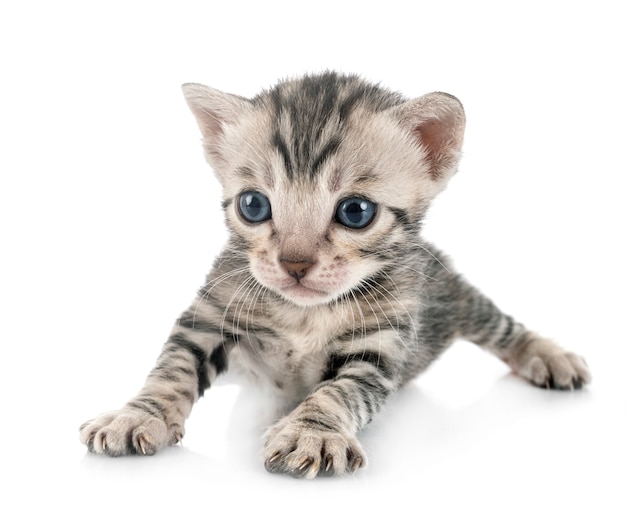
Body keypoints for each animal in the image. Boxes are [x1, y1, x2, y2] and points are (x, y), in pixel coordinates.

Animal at [79, 71, 588, 480]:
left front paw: (313, 432)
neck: (305, 313)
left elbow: (340, 392)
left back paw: (550, 356)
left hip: (456, 299)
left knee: (503, 327)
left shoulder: (378, 349)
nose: (295, 264)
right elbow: (173, 367)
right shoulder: (210, 313)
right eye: (253, 204)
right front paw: (136, 415)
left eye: (355, 211)